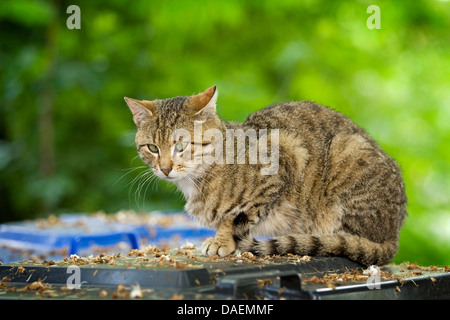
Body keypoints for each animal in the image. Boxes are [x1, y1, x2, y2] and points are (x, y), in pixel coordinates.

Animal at [125, 85, 406, 264]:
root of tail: (394, 235)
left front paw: (221, 240)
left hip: (346, 152)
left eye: (181, 145)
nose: (165, 168)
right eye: (152, 147)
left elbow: (233, 218)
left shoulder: (284, 160)